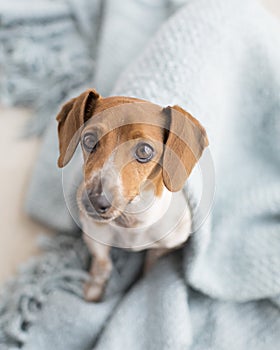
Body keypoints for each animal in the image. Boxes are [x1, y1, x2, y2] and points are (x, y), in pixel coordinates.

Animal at [55, 88, 208, 300]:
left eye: (144, 150)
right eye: (89, 139)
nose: (95, 200)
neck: (133, 220)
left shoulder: (167, 245)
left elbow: (150, 264)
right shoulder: (94, 233)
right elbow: (102, 262)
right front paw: (95, 287)